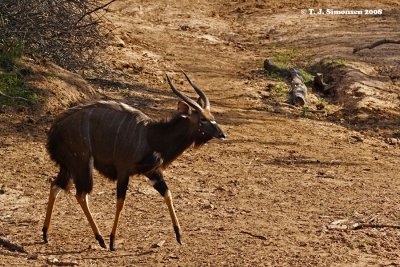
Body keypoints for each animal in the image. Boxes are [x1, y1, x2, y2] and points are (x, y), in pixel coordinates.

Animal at [43, 73, 227, 251]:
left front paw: (179, 236)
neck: (152, 136)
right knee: (81, 194)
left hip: (69, 167)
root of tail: (55, 130)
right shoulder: (124, 171)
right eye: (203, 119)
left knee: (55, 185)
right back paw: (101, 239)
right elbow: (120, 202)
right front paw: (113, 241)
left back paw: (45, 234)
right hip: (82, 163)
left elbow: (167, 194)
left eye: (212, 116)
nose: (222, 134)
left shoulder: (152, 172)